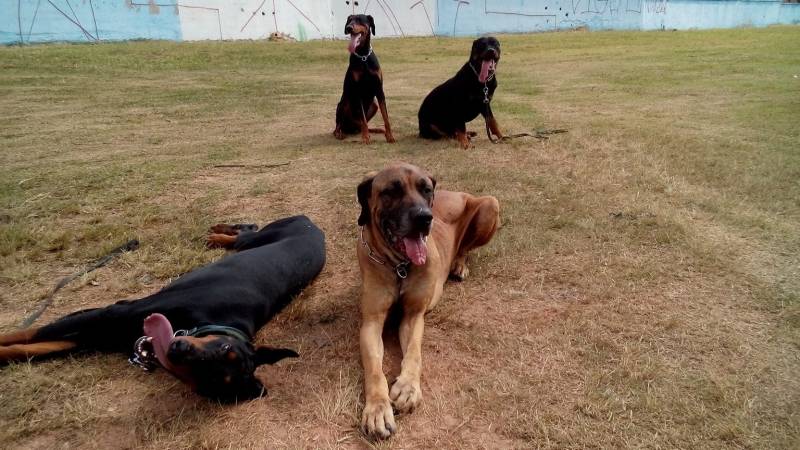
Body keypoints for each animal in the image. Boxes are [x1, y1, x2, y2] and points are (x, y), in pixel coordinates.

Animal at [356, 163, 500, 438]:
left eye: (426, 190)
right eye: (391, 191)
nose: (424, 218)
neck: (399, 267)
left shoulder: (414, 315)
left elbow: (414, 352)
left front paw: (408, 387)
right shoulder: (371, 322)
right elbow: (374, 368)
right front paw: (378, 409)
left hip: (490, 204)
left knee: (465, 249)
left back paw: (459, 265)